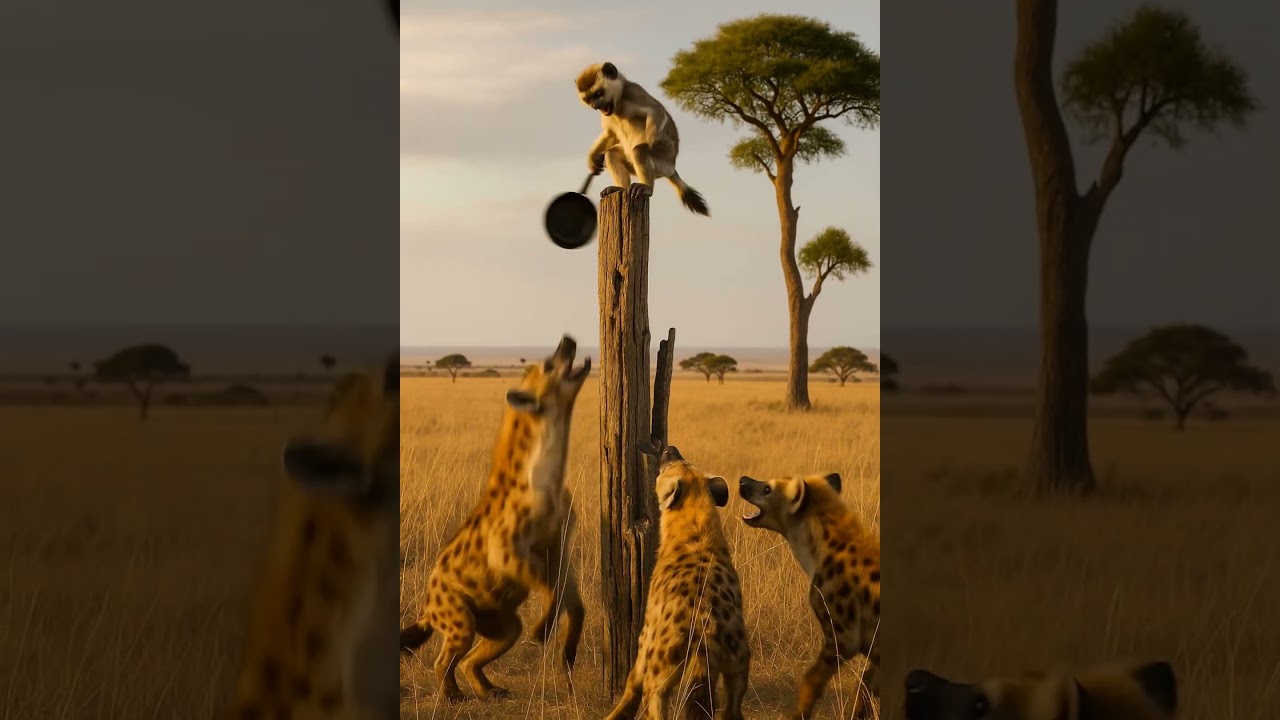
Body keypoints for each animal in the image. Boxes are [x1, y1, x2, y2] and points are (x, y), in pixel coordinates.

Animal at [575, 61, 710, 216]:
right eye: (588, 99)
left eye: (598, 94)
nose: (595, 106)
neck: (619, 104)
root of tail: (672, 167)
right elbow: (610, 134)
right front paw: (593, 159)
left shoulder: (634, 93)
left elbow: (656, 111)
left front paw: (649, 141)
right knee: (612, 154)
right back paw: (620, 188)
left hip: (663, 161)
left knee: (639, 150)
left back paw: (646, 186)